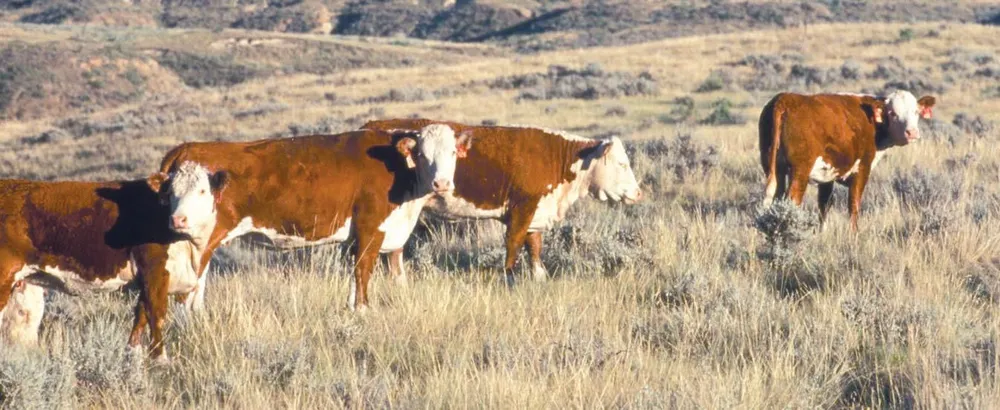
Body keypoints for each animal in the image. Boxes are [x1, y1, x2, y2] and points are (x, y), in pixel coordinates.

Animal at [0, 171, 221, 360]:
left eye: (202, 191)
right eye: (171, 192)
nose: (179, 219)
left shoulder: (146, 279)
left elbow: (141, 314)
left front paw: (133, 354)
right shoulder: (155, 271)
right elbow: (156, 313)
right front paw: (160, 359)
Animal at [154, 125, 467, 311]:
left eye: (453, 152)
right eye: (422, 154)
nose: (441, 183)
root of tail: (186, 148)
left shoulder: (356, 237)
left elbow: (353, 274)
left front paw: (350, 309)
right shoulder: (371, 227)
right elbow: (363, 271)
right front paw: (364, 310)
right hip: (199, 237)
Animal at [362, 119, 643, 286]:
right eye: (622, 164)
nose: (639, 193)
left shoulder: (535, 212)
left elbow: (534, 245)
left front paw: (539, 276)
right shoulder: (522, 208)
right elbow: (514, 244)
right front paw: (510, 278)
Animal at [758, 90, 936, 229]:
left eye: (916, 112)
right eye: (892, 113)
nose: (911, 132)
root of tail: (785, 99)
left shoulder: (827, 174)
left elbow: (824, 204)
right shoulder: (862, 168)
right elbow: (854, 204)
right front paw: (854, 234)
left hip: (773, 167)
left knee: (775, 198)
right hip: (799, 170)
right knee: (792, 200)